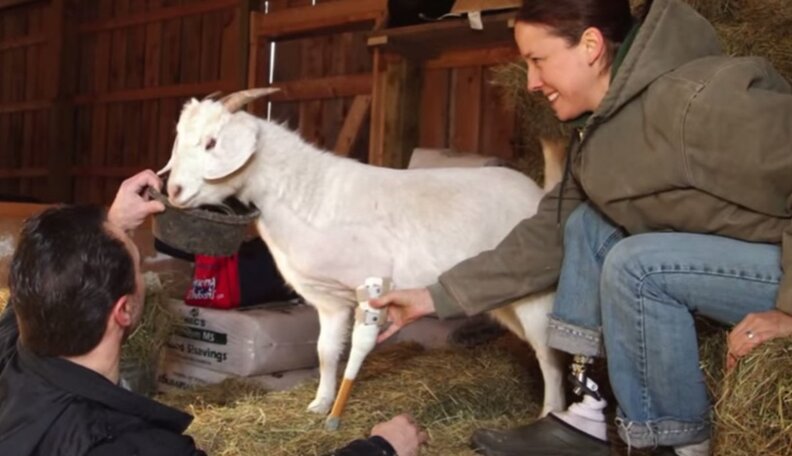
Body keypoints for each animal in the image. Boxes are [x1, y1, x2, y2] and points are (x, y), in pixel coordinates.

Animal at [159, 89, 566, 417]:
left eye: (212, 143)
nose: (174, 191)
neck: (310, 195)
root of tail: (541, 194)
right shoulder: (329, 300)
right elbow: (325, 352)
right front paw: (319, 404)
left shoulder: (371, 285)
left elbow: (357, 347)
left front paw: (336, 410)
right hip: (503, 299)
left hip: (537, 295)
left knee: (549, 356)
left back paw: (550, 412)